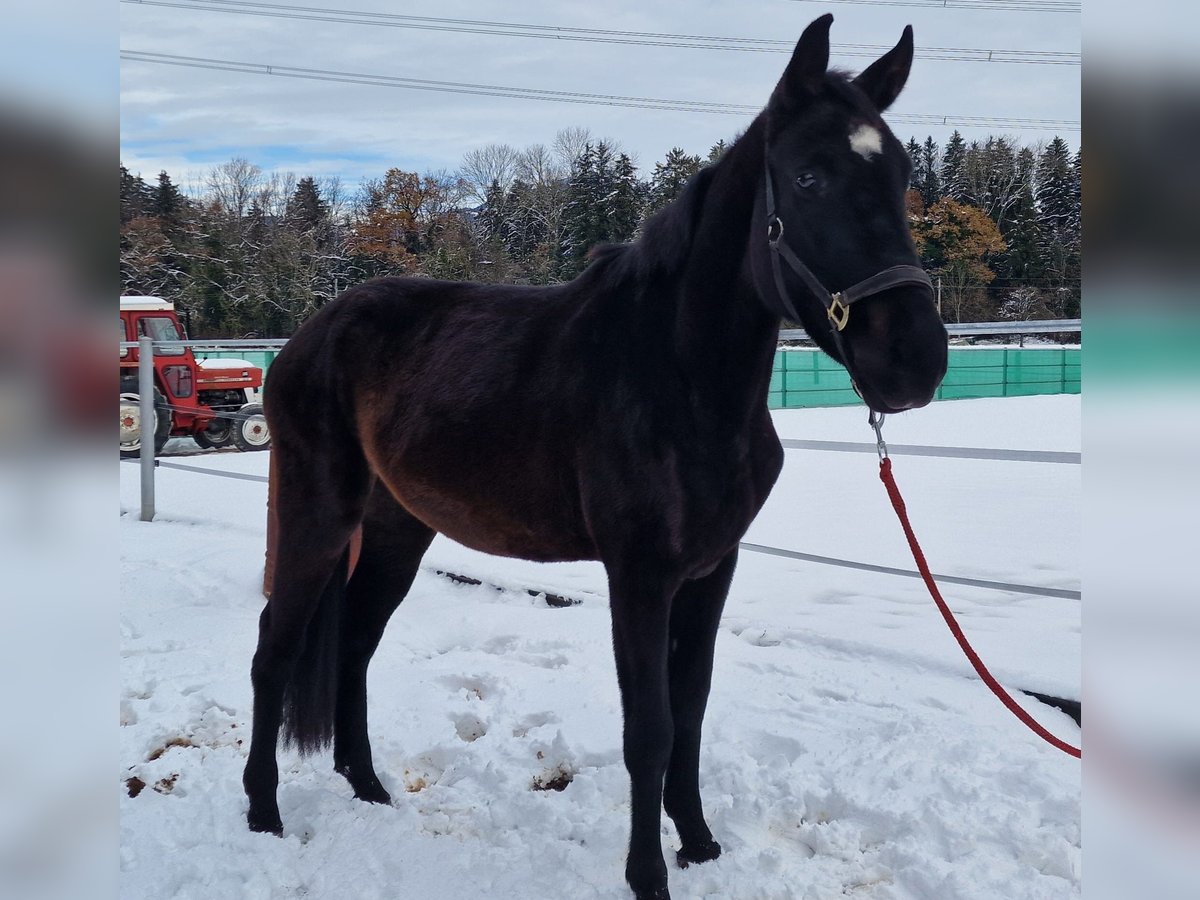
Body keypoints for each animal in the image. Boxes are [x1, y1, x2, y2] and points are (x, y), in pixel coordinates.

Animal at [246, 15, 945, 900]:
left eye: (900, 175)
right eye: (809, 176)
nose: (915, 359)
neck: (680, 379)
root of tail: (310, 336)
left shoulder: (712, 569)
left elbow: (691, 710)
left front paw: (700, 844)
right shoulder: (638, 574)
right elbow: (648, 728)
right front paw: (649, 875)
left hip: (399, 528)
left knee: (356, 647)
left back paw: (367, 786)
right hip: (318, 513)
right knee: (275, 648)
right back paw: (262, 813)